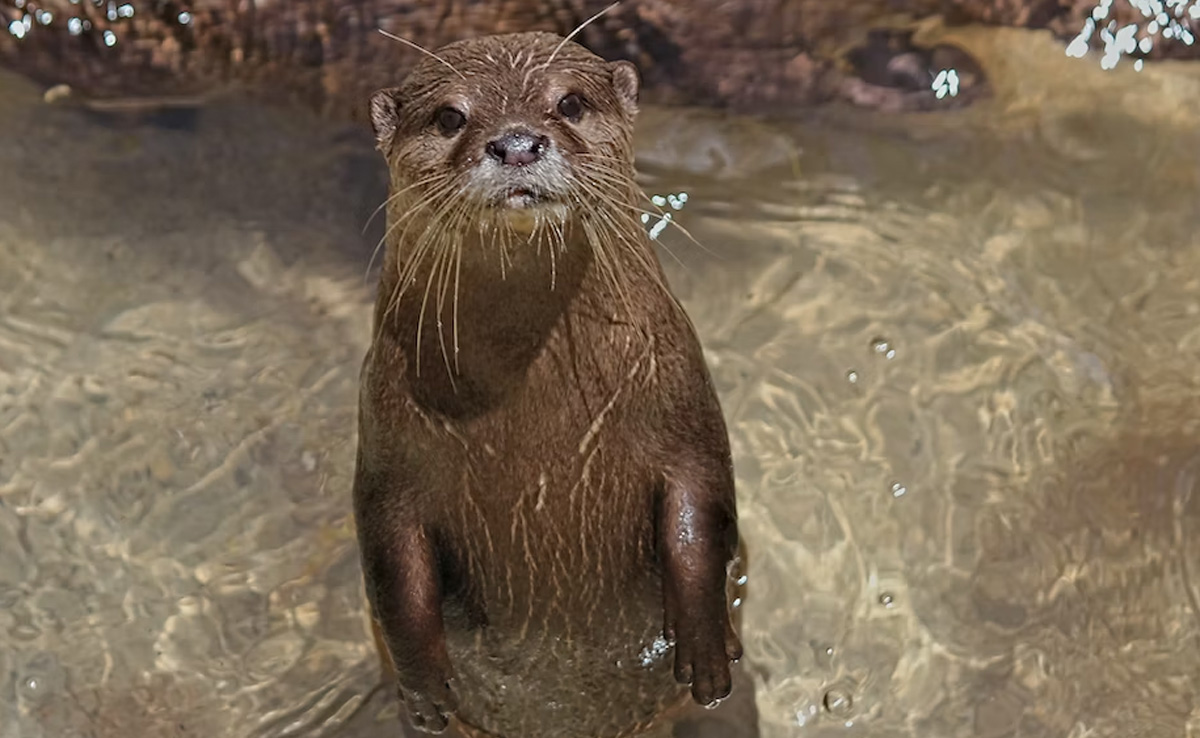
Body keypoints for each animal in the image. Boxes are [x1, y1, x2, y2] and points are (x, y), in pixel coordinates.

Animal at [353, 31, 744, 738]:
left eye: (570, 103)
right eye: (450, 116)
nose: (516, 143)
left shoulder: (684, 402)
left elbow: (700, 515)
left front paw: (704, 651)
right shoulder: (384, 445)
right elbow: (393, 567)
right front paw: (425, 690)